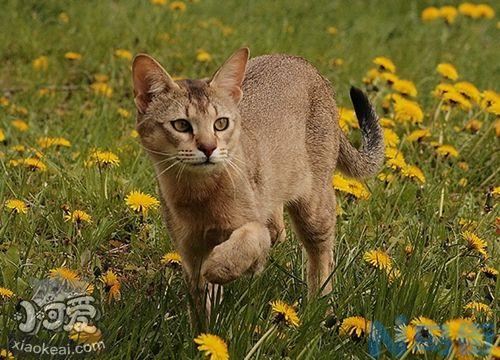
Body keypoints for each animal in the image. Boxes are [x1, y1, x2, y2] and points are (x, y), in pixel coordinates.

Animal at [131, 47, 384, 316]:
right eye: (181, 125)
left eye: (221, 123)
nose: (209, 148)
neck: (200, 195)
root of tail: (304, 63)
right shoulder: (189, 251)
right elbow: (203, 307)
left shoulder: (250, 231)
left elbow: (248, 242)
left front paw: (218, 266)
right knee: (279, 229)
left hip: (315, 208)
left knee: (321, 256)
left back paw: (319, 309)